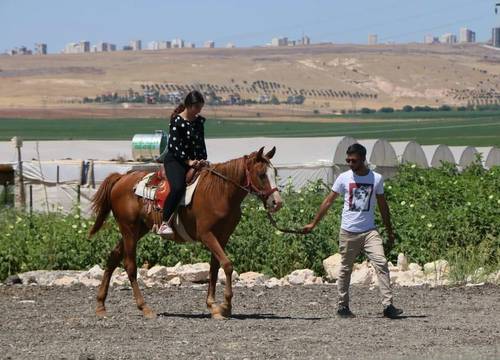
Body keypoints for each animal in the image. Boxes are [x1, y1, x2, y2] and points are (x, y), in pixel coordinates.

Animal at [89, 145, 282, 320]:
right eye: (262, 174)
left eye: (275, 173)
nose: (277, 203)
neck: (220, 191)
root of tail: (121, 178)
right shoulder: (206, 235)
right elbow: (227, 265)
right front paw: (226, 306)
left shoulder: (222, 237)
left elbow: (214, 268)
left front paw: (213, 306)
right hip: (129, 228)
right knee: (130, 266)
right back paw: (145, 308)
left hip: (138, 229)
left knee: (113, 257)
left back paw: (100, 306)